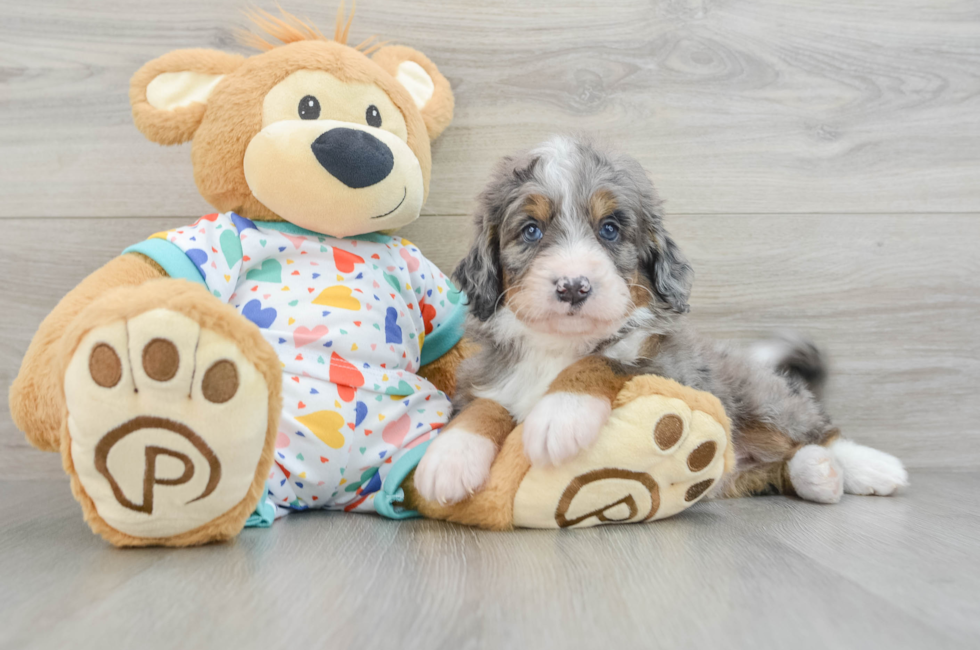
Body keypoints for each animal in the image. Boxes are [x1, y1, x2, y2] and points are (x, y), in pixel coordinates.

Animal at [410, 133, 908, 506]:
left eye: (610, 228)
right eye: (531, 230)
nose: (573, 286)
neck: (558, 348)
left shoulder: (671, 372)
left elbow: (605, 360)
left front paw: (560, 414)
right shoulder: (487, 376)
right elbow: (484, 407)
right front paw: (450, 456)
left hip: (757, 398)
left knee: (817, 430)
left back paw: (868, 467)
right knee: (778, 468)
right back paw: (817, 475)